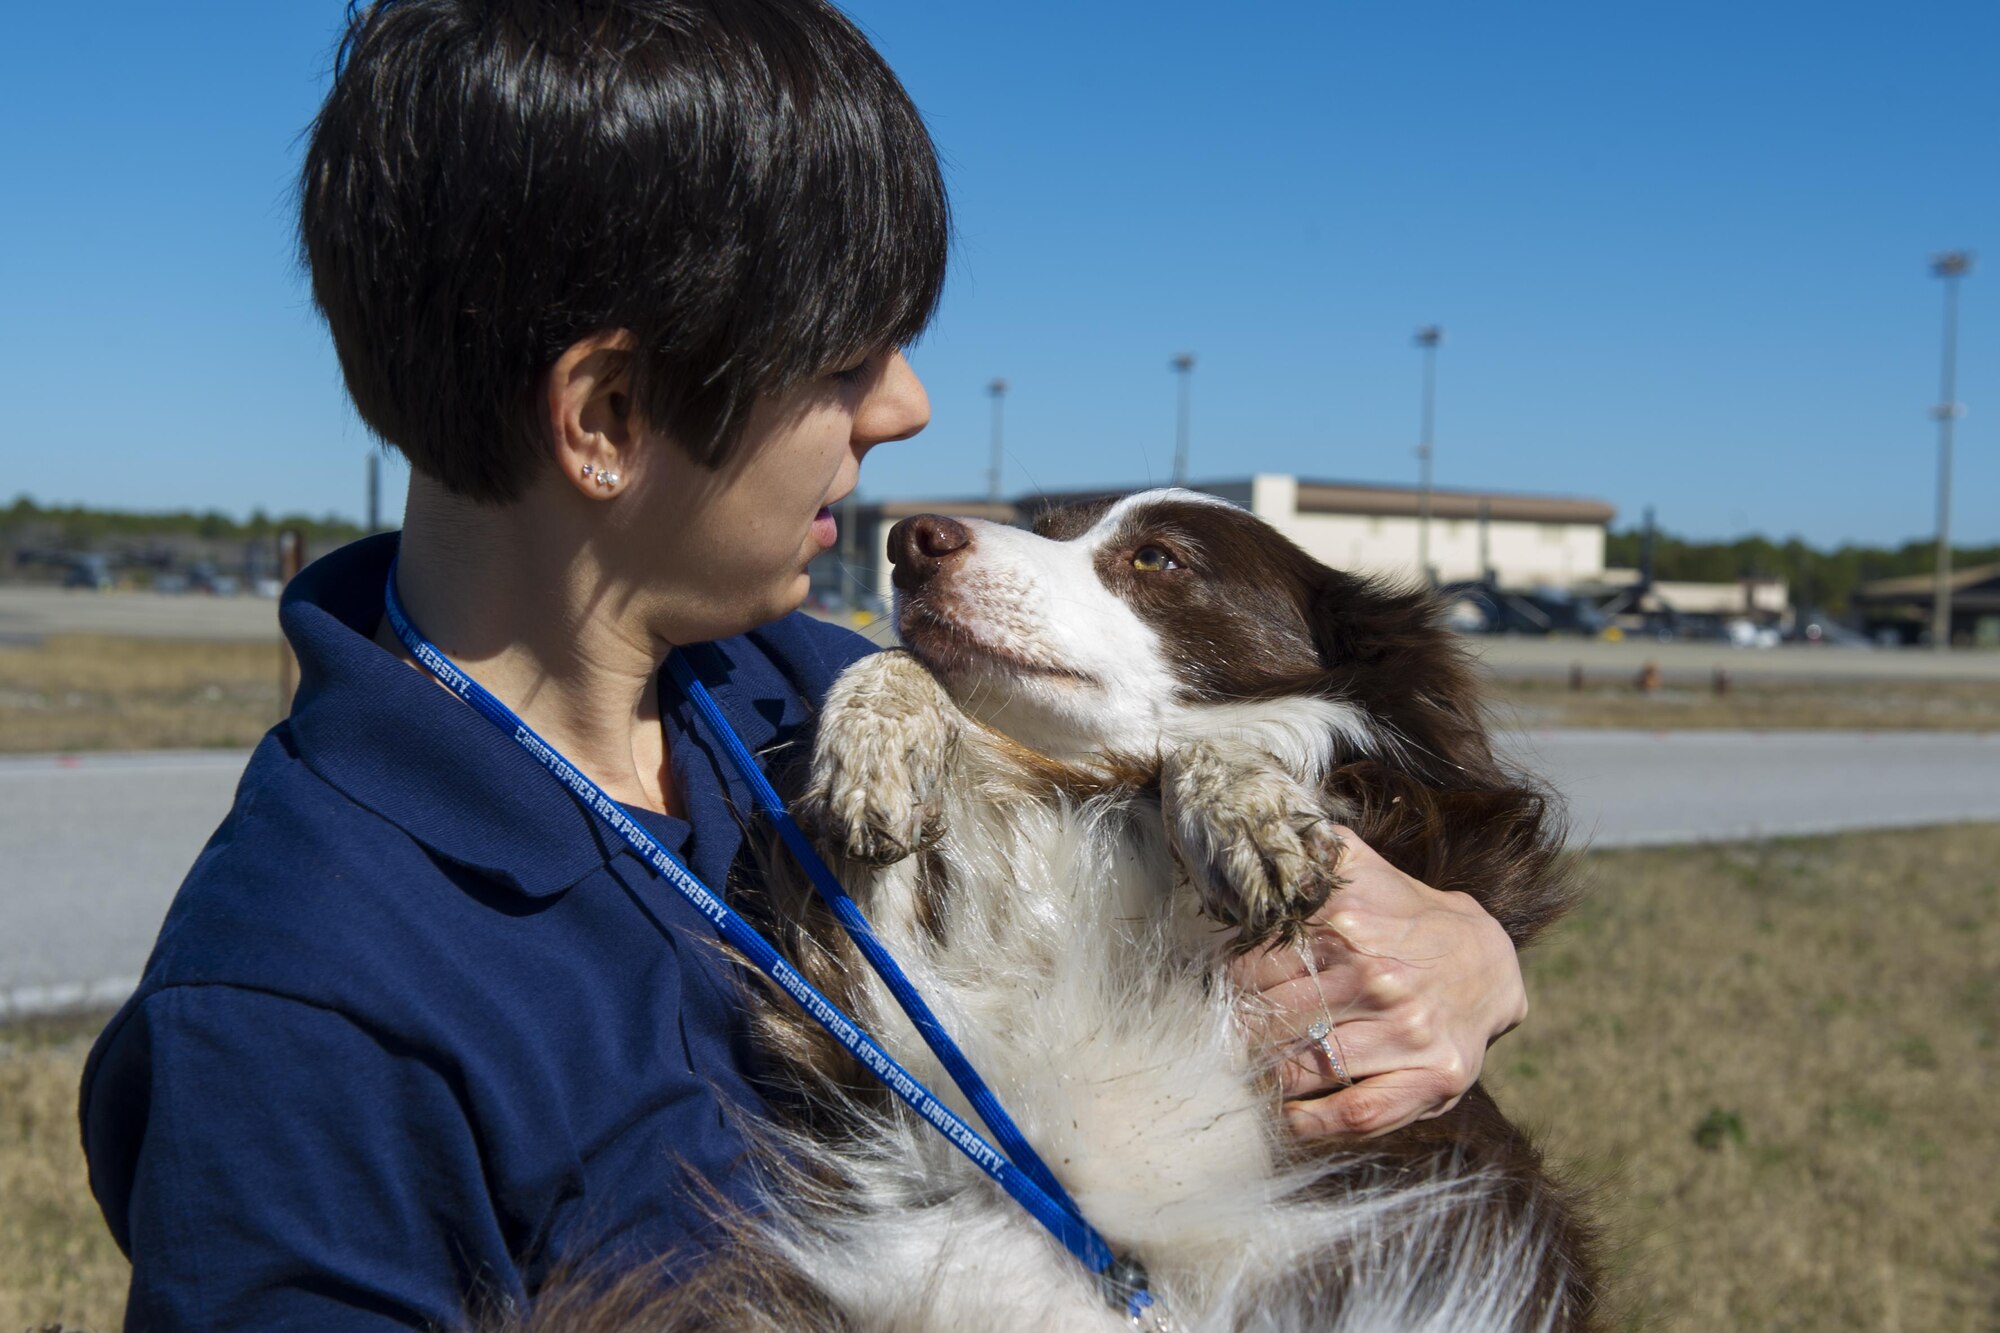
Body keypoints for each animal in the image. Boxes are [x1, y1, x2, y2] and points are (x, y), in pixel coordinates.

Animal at [544, 488, 1592, 1328]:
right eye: (1045, 525)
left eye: (1158, 559)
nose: (910, 540)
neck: (1086, 791)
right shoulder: (871, 980)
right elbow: (907, 675)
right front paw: (872, 744)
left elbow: (1214, 746)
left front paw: (1246, 808)